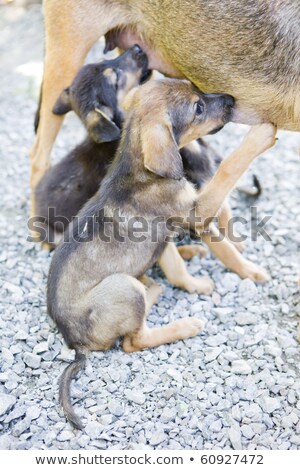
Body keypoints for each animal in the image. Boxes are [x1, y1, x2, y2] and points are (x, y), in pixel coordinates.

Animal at [47, 78, 274, 430]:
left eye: (196, 87)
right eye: (198, 108)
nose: (231, 100)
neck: (140, 170)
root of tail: (74, 343)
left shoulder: (165, 232)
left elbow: (176, 268)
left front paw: (194, 282)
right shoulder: (197, 212)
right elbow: (228, 172)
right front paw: (260, 135)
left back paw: (160, 280)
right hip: (121, 288)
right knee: (133, 341)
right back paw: (184, 324)